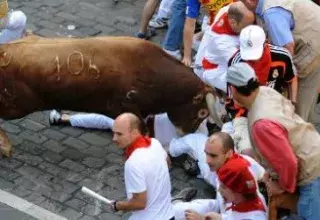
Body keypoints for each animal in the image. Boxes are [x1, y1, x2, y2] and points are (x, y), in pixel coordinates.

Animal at [0, 35, 214, 156]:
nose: (188, 132)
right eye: (203, 113)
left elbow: (149, 132)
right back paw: (5, 147)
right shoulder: (128, 108)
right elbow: (144, 132)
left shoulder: (145, 112)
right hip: (15, 105)